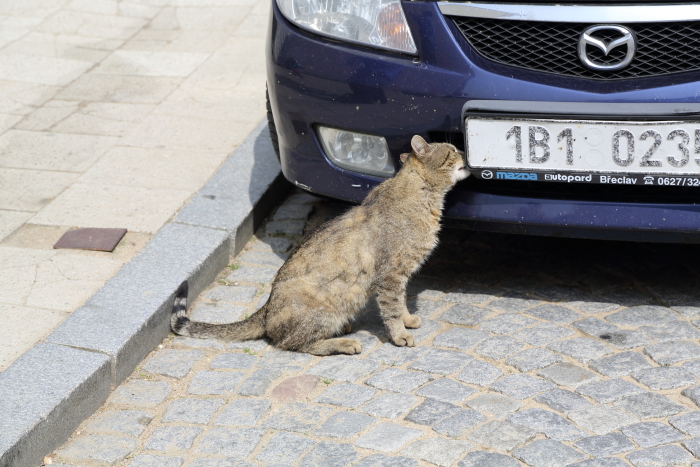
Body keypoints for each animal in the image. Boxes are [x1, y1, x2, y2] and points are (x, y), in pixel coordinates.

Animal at [171, 137, 470, 356]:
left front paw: (408, 319)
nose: (465, 151)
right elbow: (392, 308)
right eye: (452, 150)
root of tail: (265, 309)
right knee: (293, 344)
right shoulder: (391, 275)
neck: (424, 197)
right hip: (321, 306)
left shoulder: (400, 275)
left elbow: (403, 301)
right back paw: (342, 343)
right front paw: (400, 335)